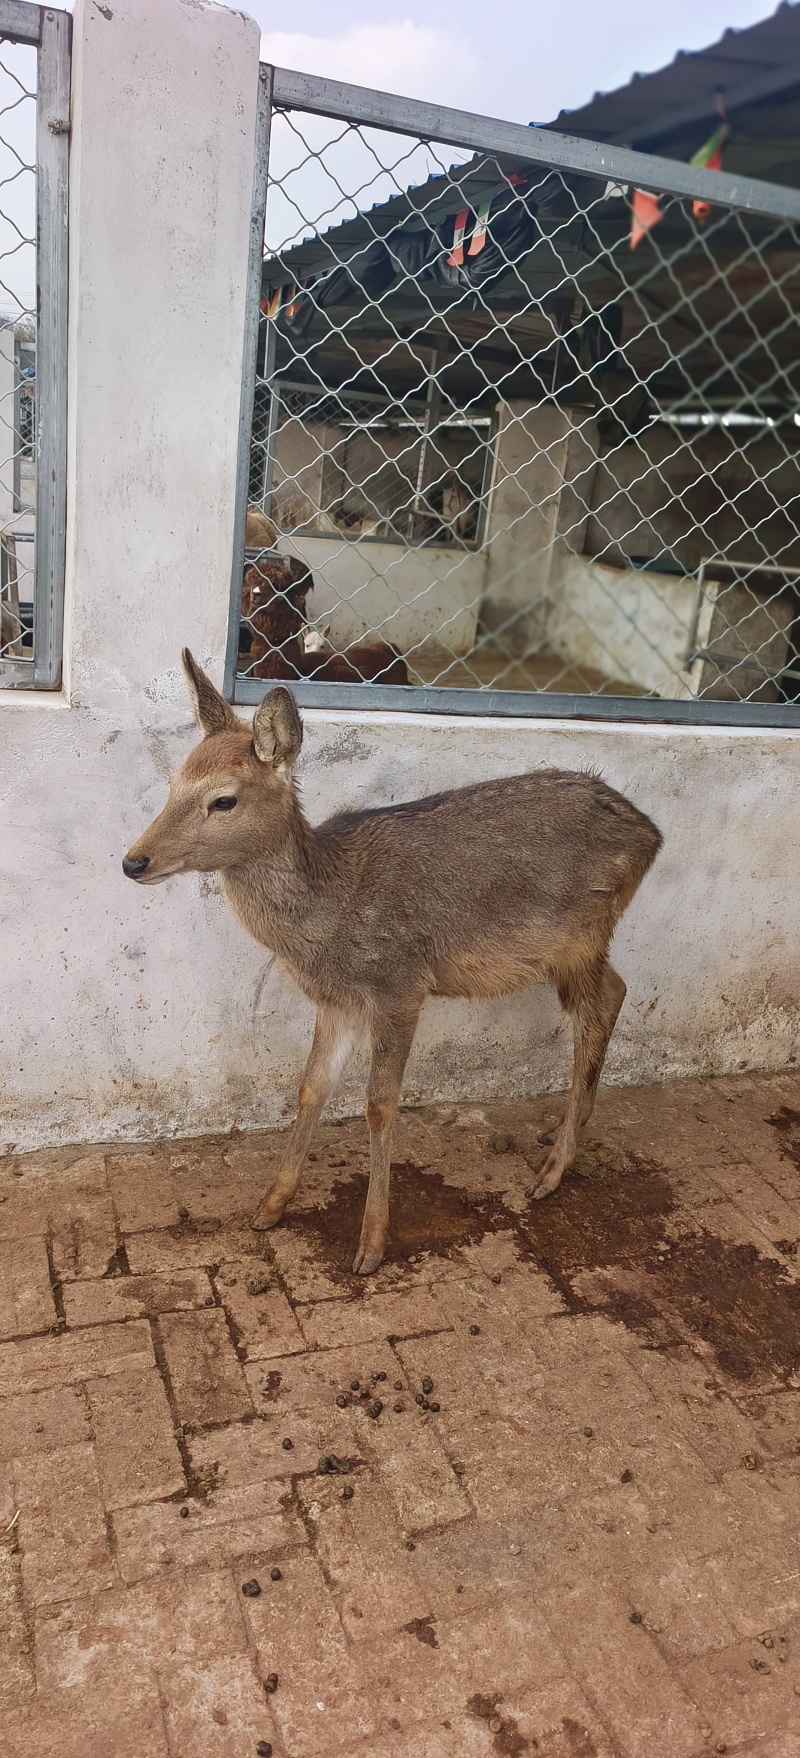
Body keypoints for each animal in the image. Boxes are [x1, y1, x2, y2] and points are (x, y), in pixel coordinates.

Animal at [122, 652, 662, 1274]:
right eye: (174, 783)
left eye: (224, 799)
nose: (133, 861)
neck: (327, 923)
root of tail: (653, 835)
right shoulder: (337, 999)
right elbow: (311, 1087)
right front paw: (270, 1205)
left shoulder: (400, 983)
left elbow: (379, 1104)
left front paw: (371, 1243)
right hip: (576, 945)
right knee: (617, 991)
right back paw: (559, 1131)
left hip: (582, 932)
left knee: (599, 1007)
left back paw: (551, 1173)